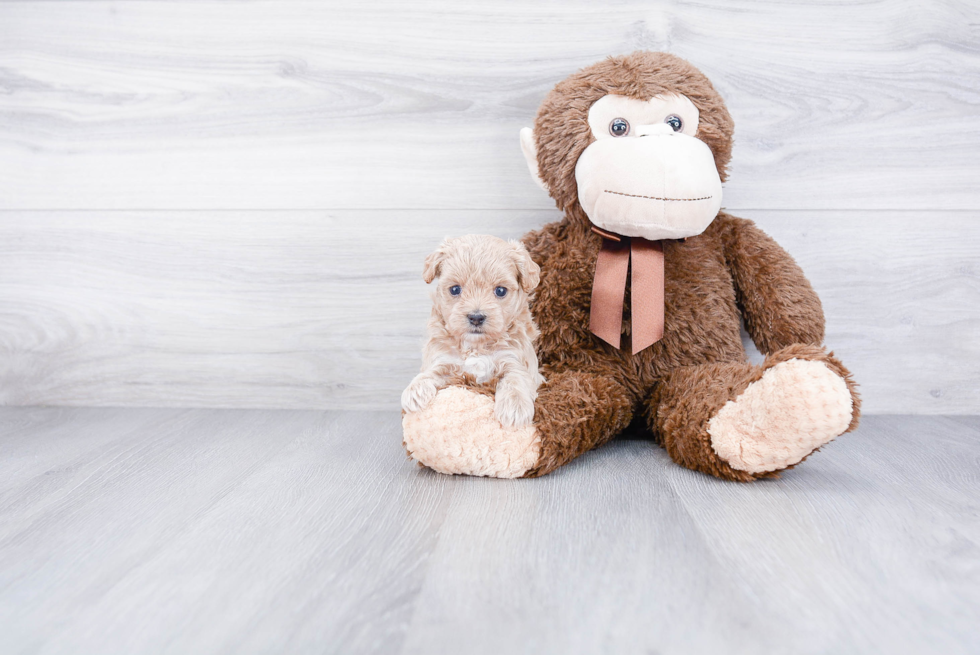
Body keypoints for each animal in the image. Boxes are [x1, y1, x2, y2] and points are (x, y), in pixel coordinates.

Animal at [402, 233, 548, 428]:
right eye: (455, 289)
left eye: (500, 291)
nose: (476, 317)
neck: (476, 346)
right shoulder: (446, 362)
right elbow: (431, 372)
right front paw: (415, 389)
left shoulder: (515, 359)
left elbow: (515, 379)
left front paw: (514, 407)